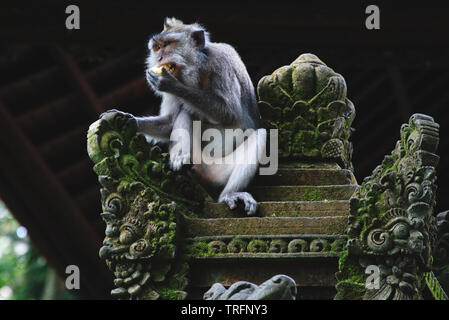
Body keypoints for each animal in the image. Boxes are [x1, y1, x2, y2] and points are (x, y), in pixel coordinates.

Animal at [104, 18, 266, 216]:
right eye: (157, 47)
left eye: (168, 44)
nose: (159, 58)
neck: (198, 71)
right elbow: (169, 122)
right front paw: (127, 120)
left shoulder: (220, 64)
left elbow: (230, 112)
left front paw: (170, 84)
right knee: (185, 113)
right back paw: (180, 161)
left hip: (218, 171)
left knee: (259, 135)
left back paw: (229, 194)